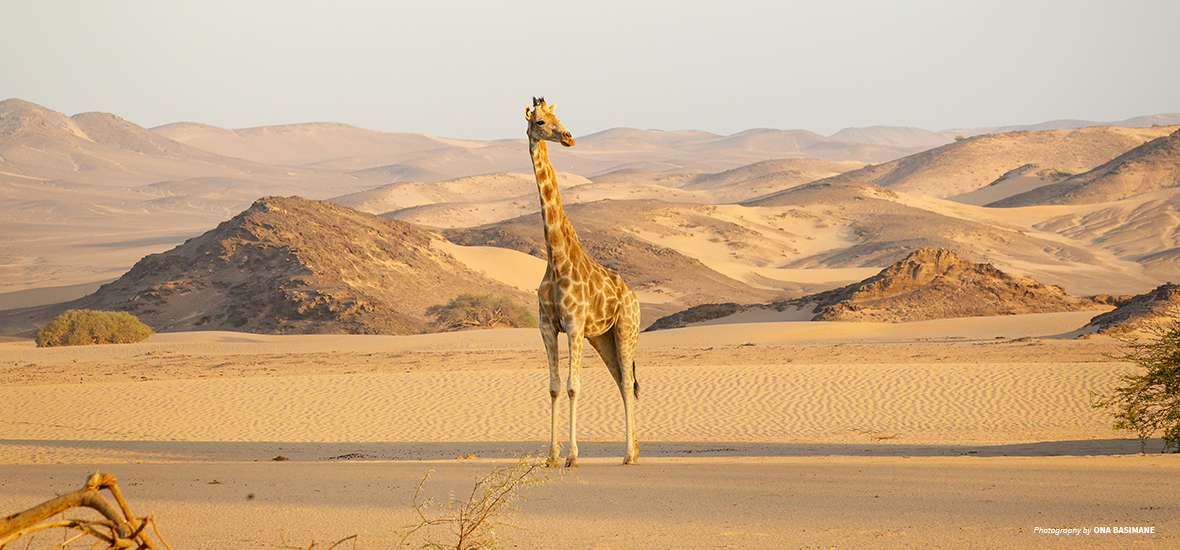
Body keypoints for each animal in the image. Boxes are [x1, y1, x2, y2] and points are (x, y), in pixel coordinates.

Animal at [526, 96, 641, 467]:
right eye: (541, 121)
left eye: (559, 118)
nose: (568, 137)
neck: (556, 258)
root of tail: (634, 297)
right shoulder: (548, 326)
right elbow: (554, 386)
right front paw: (552, 456)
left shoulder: (574, 325)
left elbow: (574, 386)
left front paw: (573, 456)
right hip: (602, 338)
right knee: (621, 381)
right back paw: (634, 451)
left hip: (626, 330)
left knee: (627, 383)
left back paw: (629, 455)